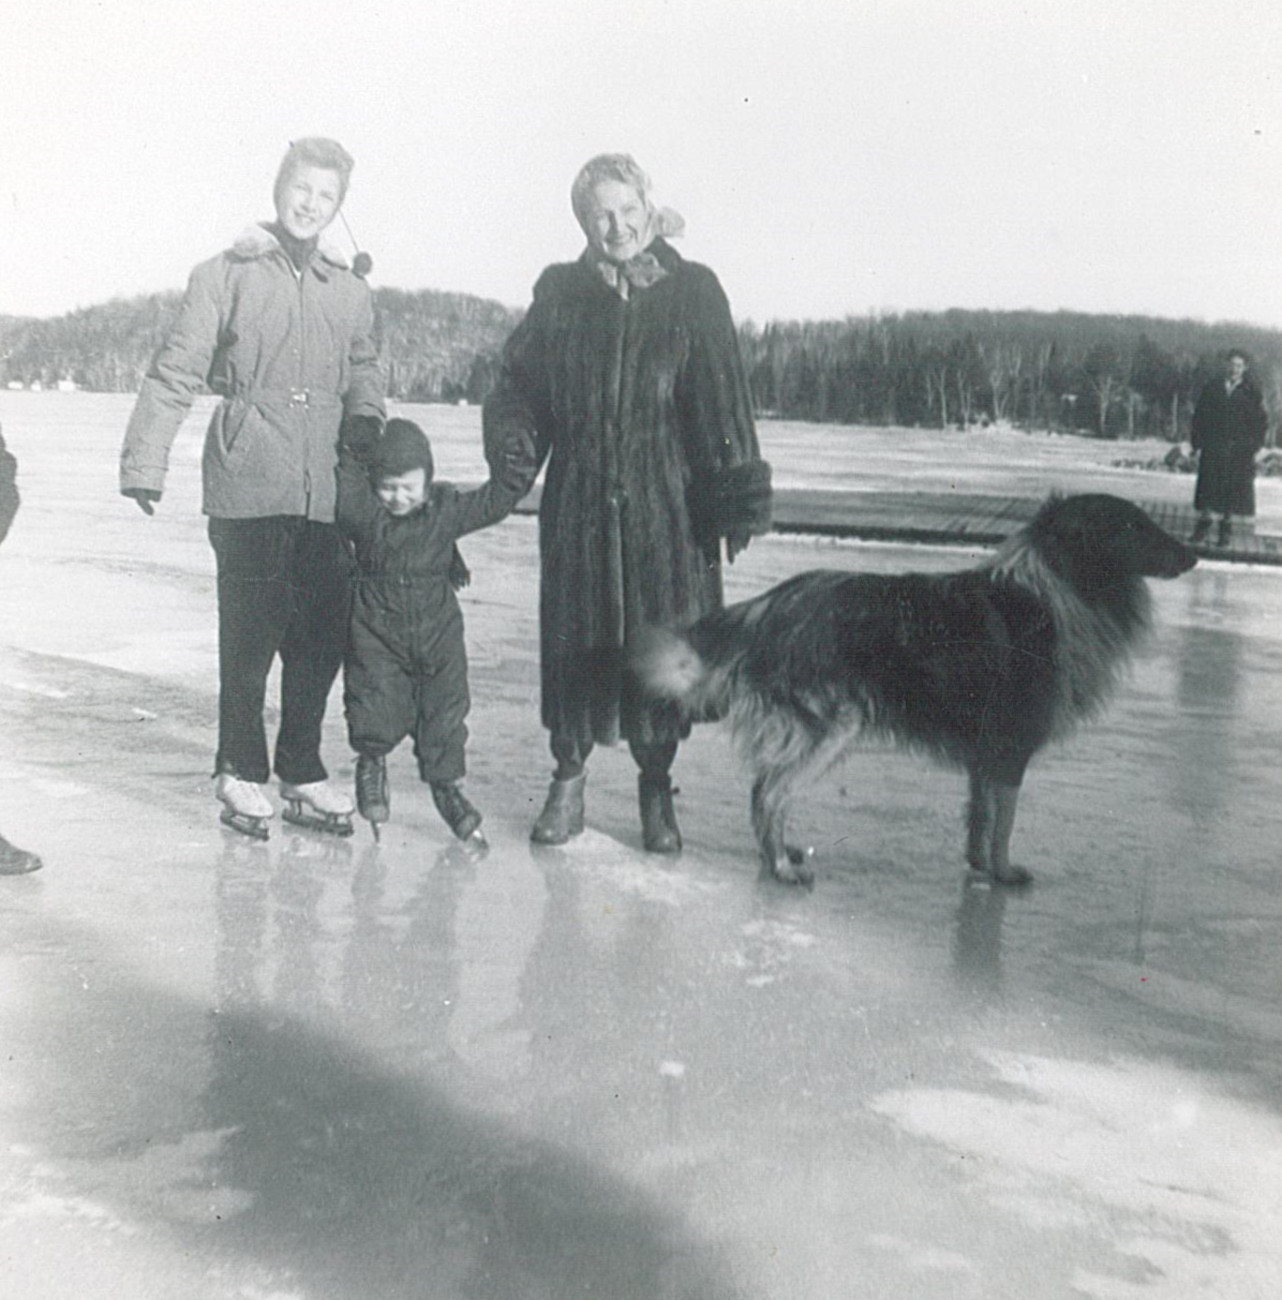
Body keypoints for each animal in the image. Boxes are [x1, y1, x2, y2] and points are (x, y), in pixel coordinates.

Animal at [634, 491, 1196, 889]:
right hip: (833, 726)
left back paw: (781, 853)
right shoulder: (1011, 747)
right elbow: (1005, 821)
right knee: (772, 792)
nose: (1191, 557)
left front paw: (980, 867)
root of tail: (768, 607)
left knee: (762, 790)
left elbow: (981, 816)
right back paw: (782, 868)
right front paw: (1004, 872)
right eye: (1133, 525)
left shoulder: (985, 752)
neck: (1060, 583)